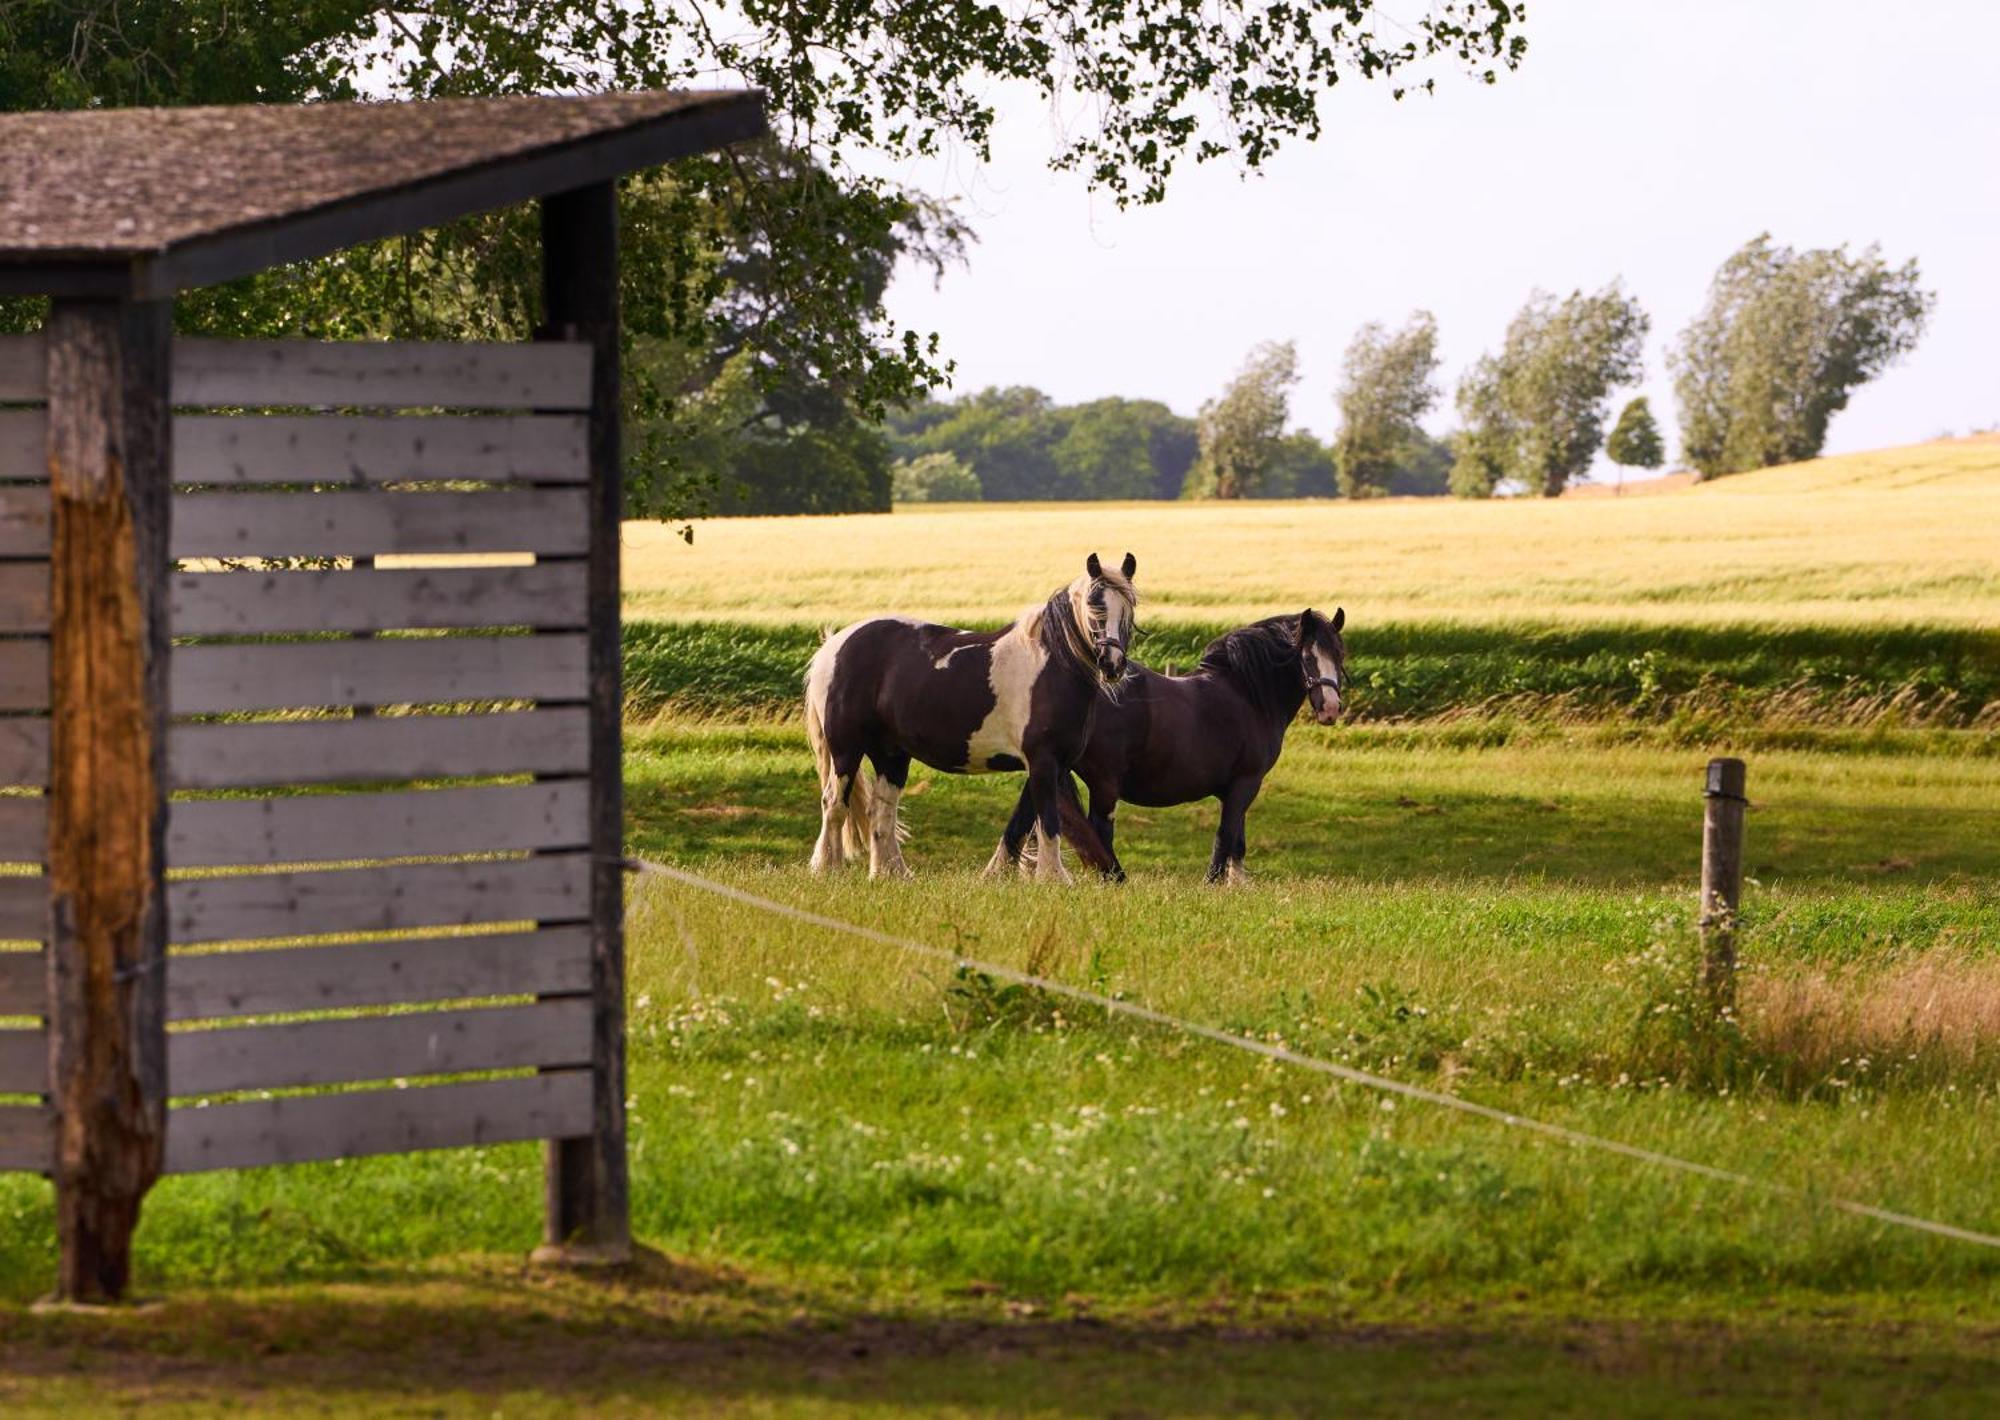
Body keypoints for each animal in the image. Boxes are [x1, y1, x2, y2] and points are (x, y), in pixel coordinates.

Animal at [800, 552, 1144, 880]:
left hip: (891, 755)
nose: (1112, 664)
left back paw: (891, 874)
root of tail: (834, 646)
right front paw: (1053, 878)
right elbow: (1048, 821)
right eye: (1094, 605)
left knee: (880, 811)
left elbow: (1023, 820)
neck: (1052, 667)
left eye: (1129, 607)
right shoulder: (1044, 761)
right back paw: (827, 869)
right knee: (834, 804)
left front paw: (998, 873)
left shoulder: (1049, 765)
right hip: (846, 749)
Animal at [996, 608, 1344, 884]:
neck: (1247, 694)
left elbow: (1237, 841)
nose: (1330, 709)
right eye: (1307, 657)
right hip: (1103, 782)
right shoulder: (1246, 783)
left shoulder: (1238, 787)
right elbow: (1225, 837)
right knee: (1098, 832)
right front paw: (1213, 886)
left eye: (1340, 656)